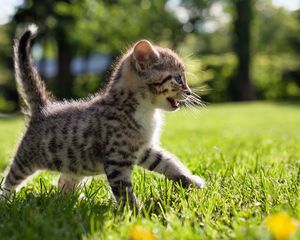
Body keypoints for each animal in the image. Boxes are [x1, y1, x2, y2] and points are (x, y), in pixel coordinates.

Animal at [0, 24, 204, 206]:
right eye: (178, 78)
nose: (189, 92)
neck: (145, 109)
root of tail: (43, 109)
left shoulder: (143, 149)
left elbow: (168, 162)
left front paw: (190, 180)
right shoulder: (117, 160)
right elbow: (124, 190)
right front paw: (135, 213)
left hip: (75, 164)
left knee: (63, 181)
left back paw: (72, 201)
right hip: (26, 158)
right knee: (10, 177)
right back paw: (6, 199)